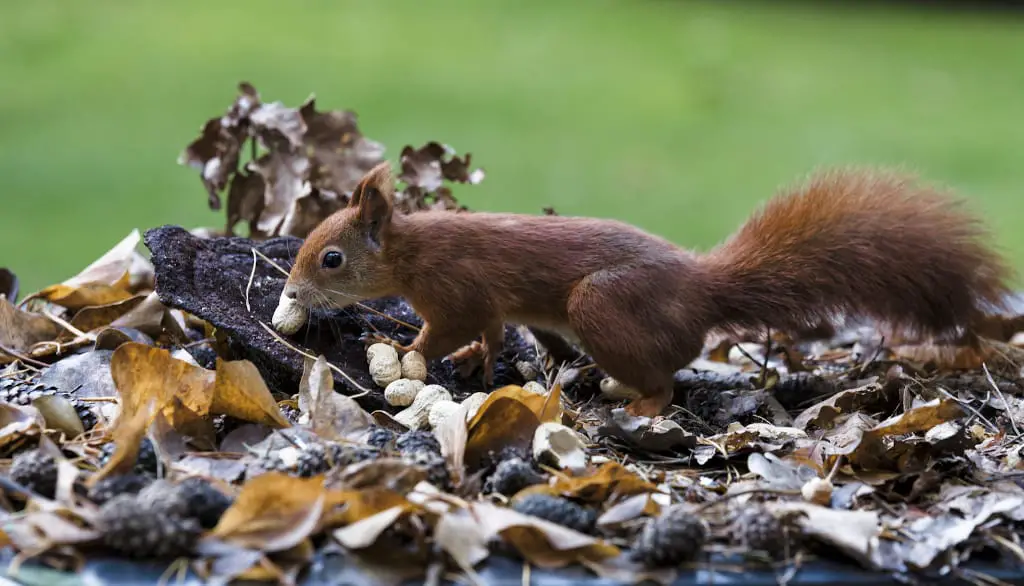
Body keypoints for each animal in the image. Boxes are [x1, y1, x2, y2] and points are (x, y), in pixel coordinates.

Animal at [282, 159, 1015, 415]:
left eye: (332, 259)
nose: (290, 294)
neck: (412, 252)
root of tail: (702, 290)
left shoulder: (456, 288)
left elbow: (451, 326)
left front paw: (409, 350)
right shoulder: (485, 305)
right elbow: (488, 333)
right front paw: (475, 360)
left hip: (600, 304)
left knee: (666, 378)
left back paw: (638, 402)